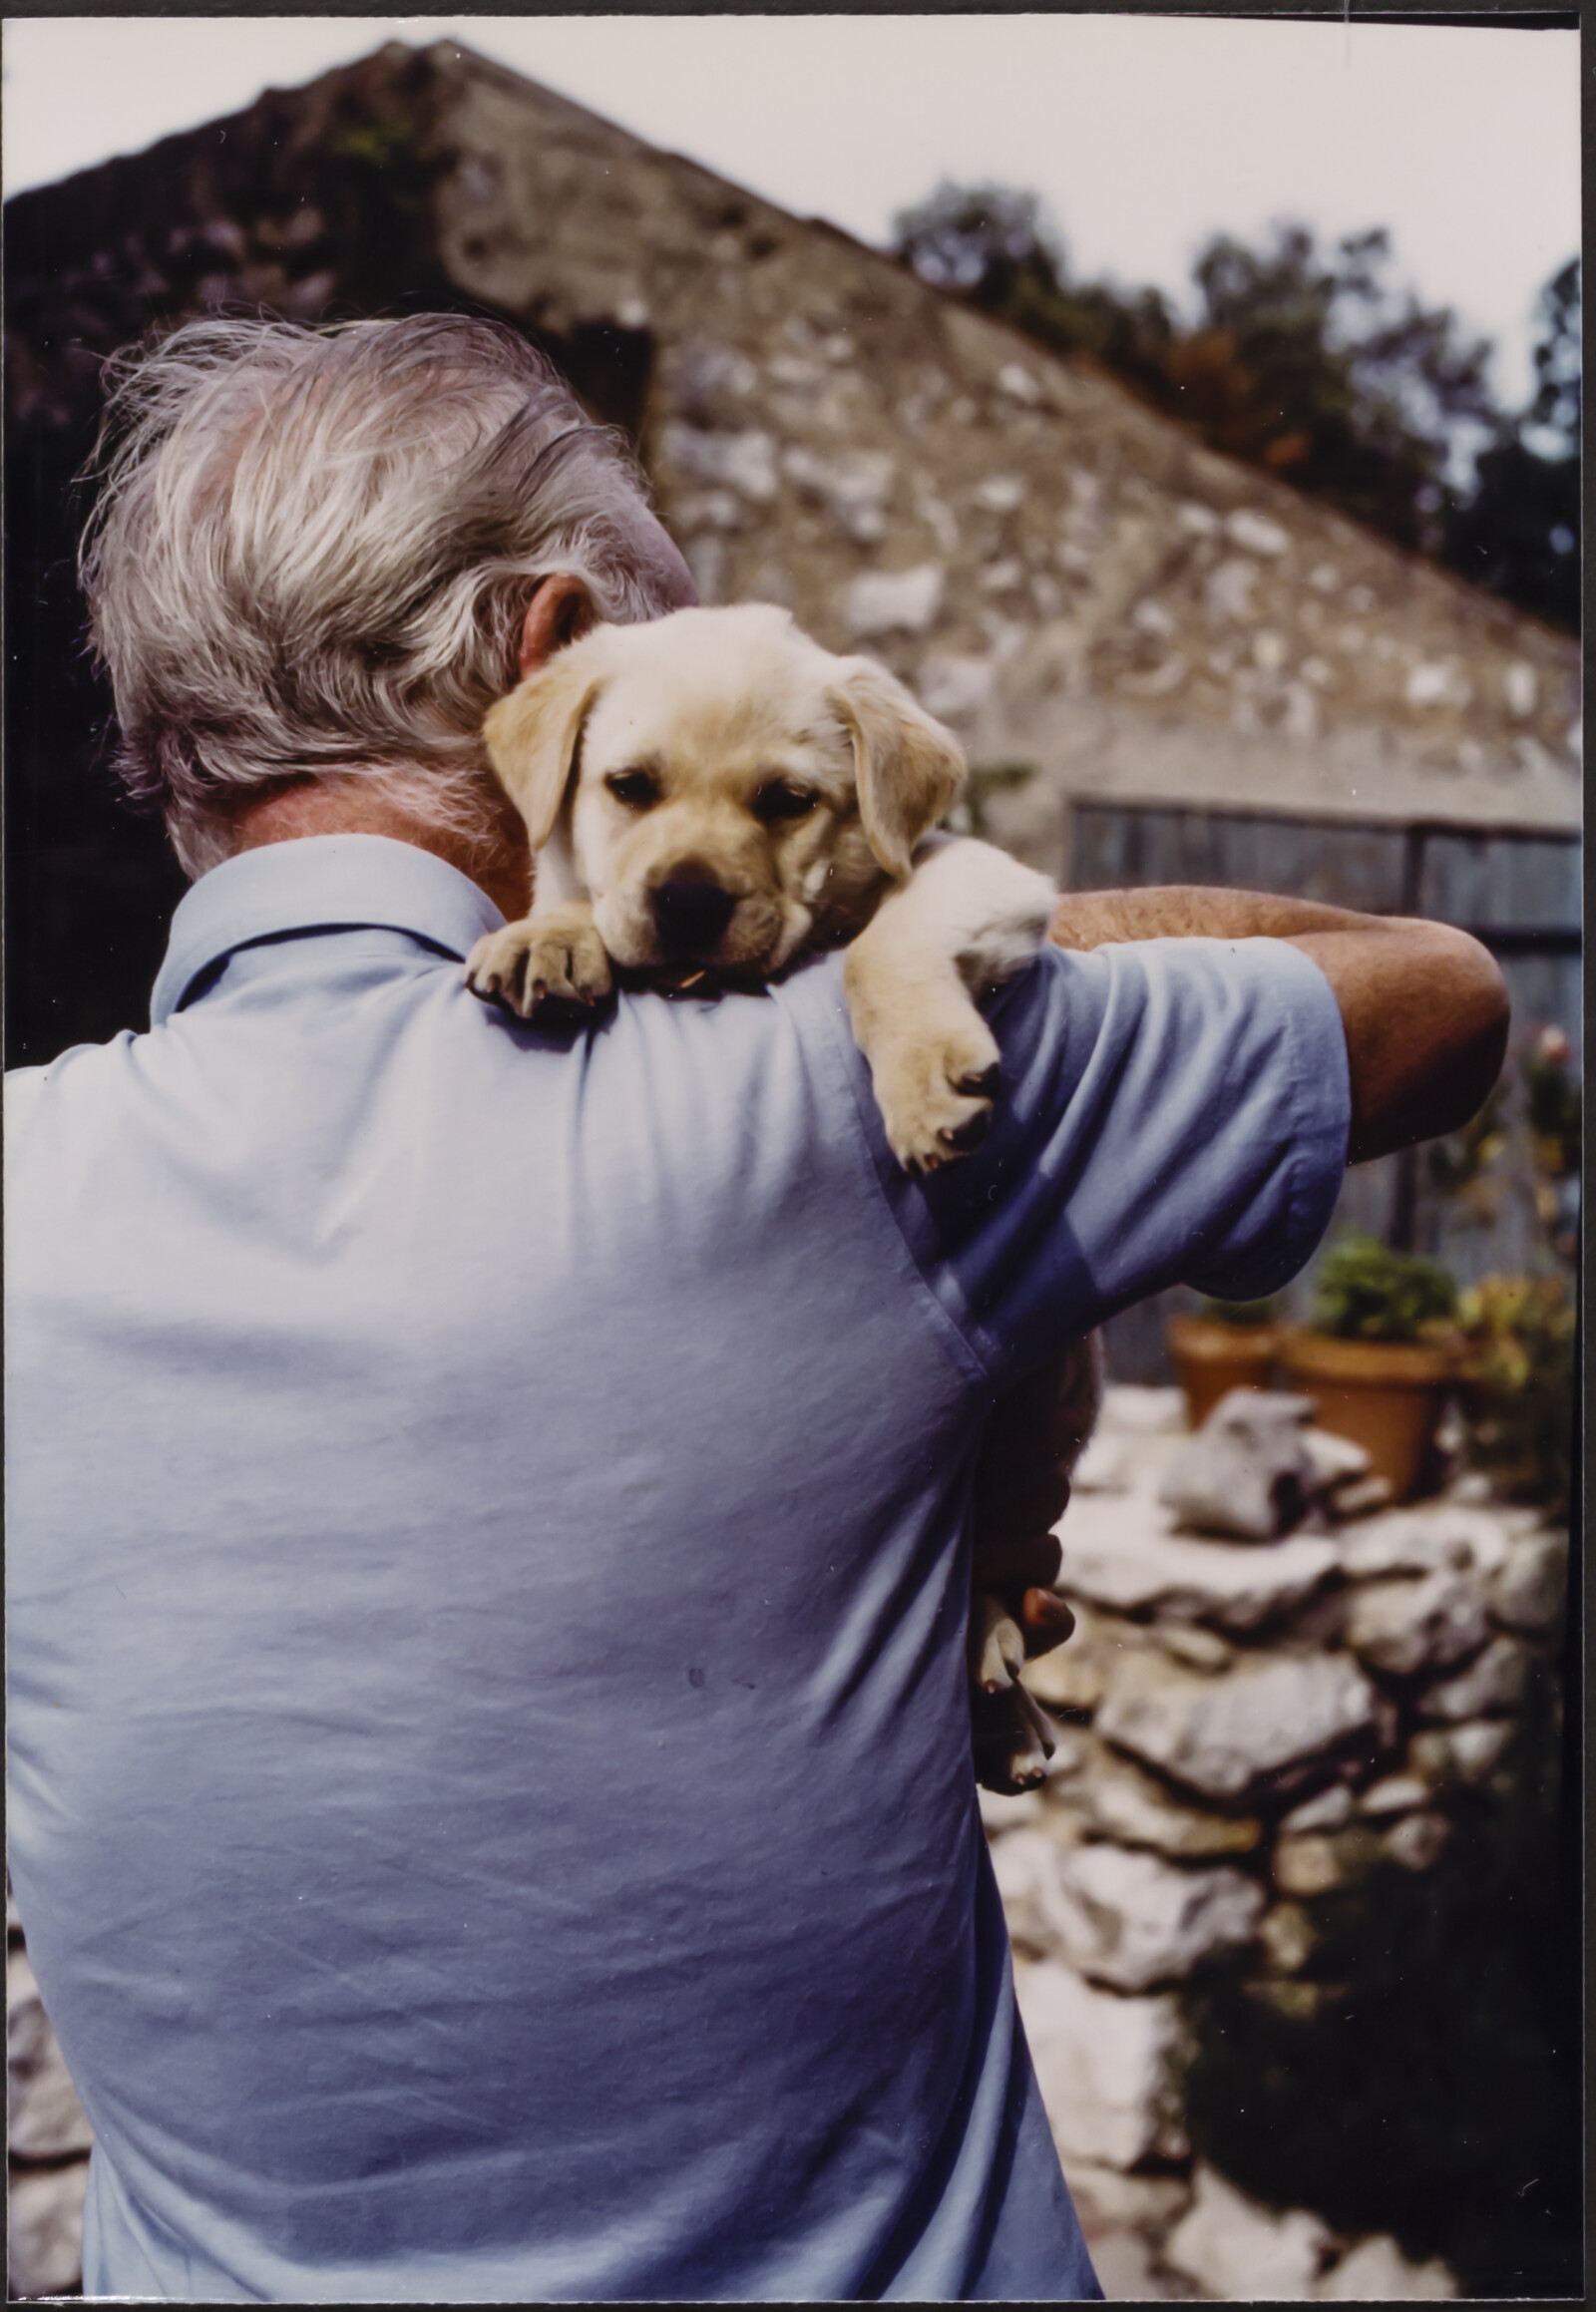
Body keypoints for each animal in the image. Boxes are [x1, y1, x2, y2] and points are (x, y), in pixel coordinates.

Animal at [462, 600, 1082, 1784]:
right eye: (628, 786)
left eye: (789, 802)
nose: (687, 901)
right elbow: (578, 891)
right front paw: (546, 936)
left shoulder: (978, 871)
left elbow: (882, 942)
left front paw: (928, 1082)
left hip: (1049, 1417)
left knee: (991, 1560)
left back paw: (998, 1678)